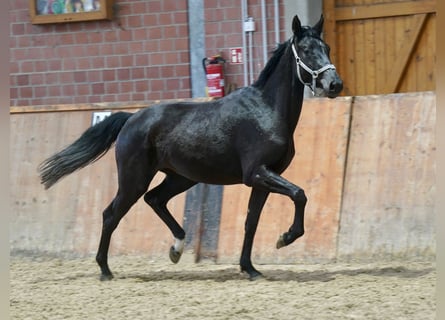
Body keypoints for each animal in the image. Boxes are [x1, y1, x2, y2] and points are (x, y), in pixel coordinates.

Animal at [40, 14, 342, 280]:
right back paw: (105, 270)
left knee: (155, 199)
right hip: (134, 179)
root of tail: (131, 119)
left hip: (181, 177)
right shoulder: (257, 173)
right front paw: (285, 238)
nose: (335, 84)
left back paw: (176, 248)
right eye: (306, 50)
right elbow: (300, 194)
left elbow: (251, 222)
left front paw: (250, 268)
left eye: (326, 48)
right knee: (111, 214)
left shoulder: (264, 178)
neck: (266, 110)